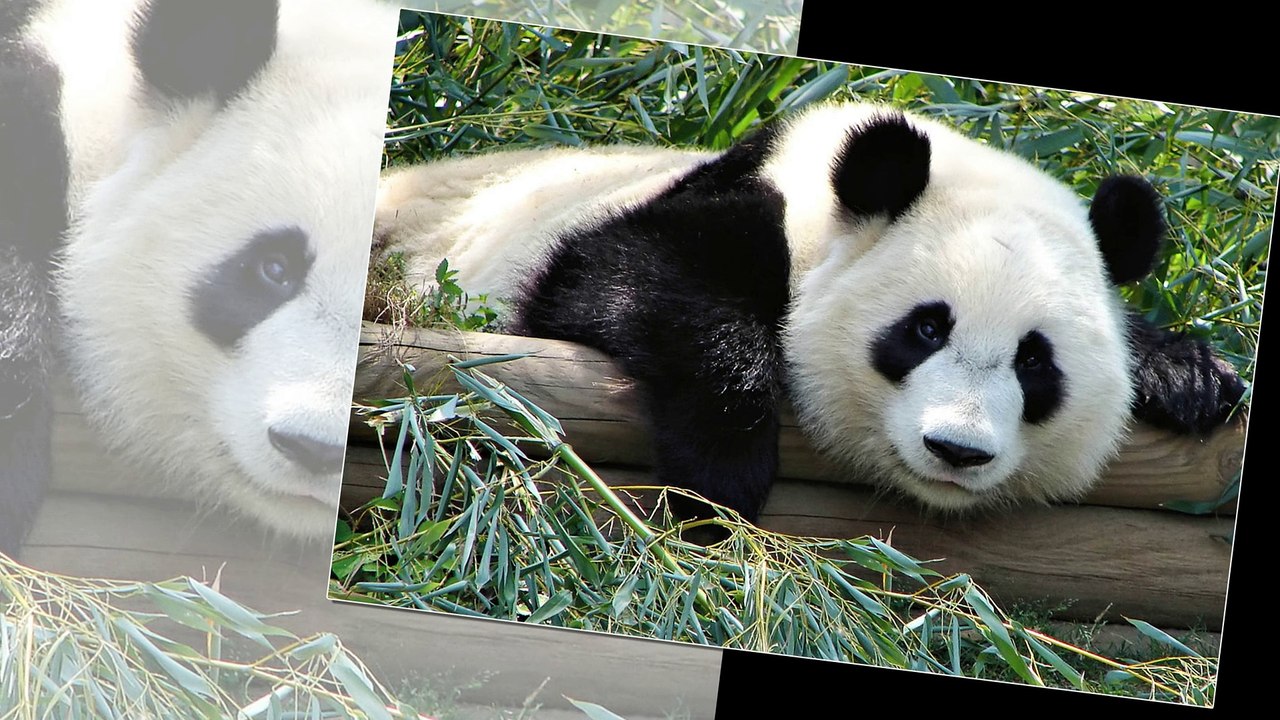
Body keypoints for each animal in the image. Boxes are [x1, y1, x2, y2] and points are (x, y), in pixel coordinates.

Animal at [370, 102, 1246, 523]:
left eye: (1036, 361)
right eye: (926, 328)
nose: (957, 450)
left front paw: (1189, 376)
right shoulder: (721, 208)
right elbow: (622, 278)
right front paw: (720, 479)